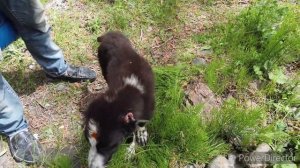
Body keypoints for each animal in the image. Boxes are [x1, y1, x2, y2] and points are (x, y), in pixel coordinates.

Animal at [84, 31, 155, 167]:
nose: (91, 166)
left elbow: (141, 124)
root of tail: (109, 35)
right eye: (88, 142)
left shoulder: (147, 110)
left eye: (109, 146)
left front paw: (140, 136)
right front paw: (130, 149)